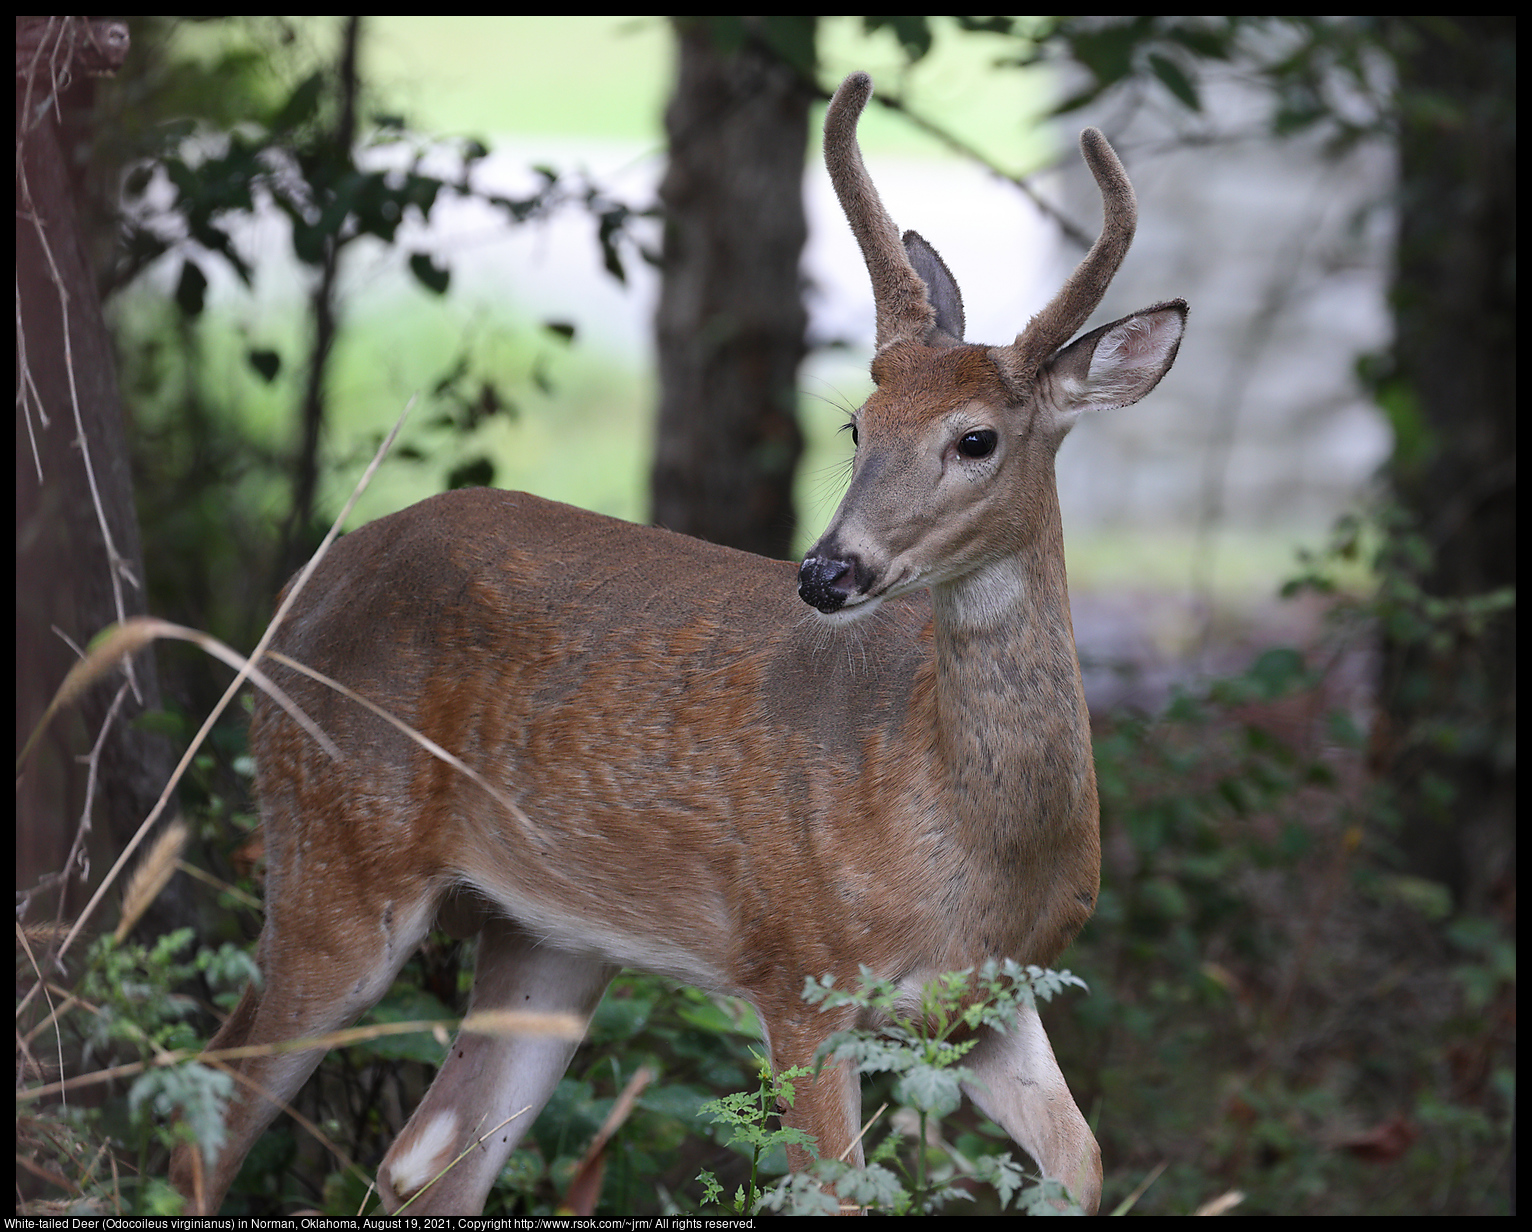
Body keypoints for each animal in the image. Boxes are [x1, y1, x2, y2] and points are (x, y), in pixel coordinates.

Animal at [173, 69, 1188, 1213]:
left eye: (975, 438)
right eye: (857, 426)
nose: (827, 572)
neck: (966, 845)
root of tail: (300, 589)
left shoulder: (991, 1000)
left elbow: (1083, 1160)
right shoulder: (796, 967)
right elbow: (834, 1189)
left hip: (545, 935)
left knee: (429, 1151)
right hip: (332, 850)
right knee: (213, 1109)